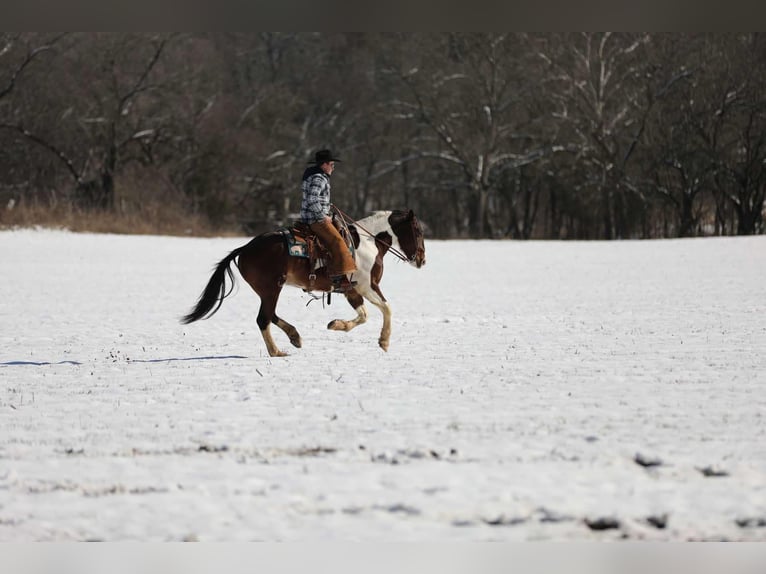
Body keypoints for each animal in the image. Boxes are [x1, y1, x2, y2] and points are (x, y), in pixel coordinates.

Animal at [181, 209, 426, 357]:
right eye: (417, 230)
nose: (422, 260)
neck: (367, 243)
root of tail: (245, 248)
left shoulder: (350, 290)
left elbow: (363, 315)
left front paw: (336, 324)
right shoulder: (367, 286)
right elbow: (386, 308)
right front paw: (384, 341)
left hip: (268, 291)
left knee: (270, 315)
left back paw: (295, 337)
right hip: (272, 289)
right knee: (263, 318)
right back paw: (277, 351)